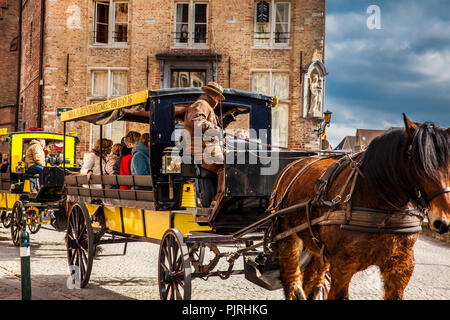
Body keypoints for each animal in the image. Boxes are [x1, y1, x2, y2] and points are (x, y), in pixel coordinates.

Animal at [270, 115, 450, 300]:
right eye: (419, 163)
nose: (442, 220)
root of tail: (292, 165)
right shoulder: (342, 265)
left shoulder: (400, 266)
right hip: (286, 234)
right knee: (291, 275)